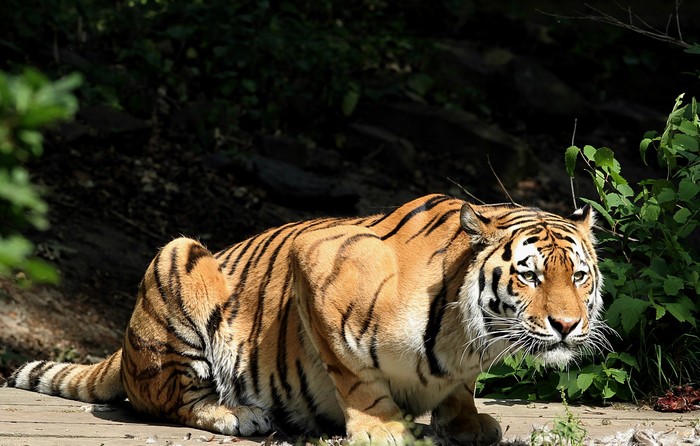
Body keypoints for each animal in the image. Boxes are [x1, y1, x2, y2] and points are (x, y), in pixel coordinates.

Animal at [7, 194, 607, 445]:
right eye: (529, 276)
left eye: (578, 276)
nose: (567, 325)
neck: (468, 337)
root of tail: (126, 350)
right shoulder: (318, 263)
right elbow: (355, 375)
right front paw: (385, 428)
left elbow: (458, 390)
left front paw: (466, 421)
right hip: (178, 259)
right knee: (170, 402)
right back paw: (238, 416)